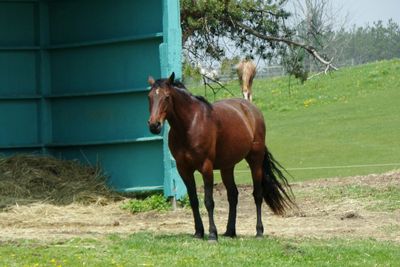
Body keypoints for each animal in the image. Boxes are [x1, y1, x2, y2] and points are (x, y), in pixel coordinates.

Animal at [148, 72, 294, 242]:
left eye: (166, 97)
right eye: (149, 96)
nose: (154, 125)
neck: (190, 125)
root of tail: (251, 108)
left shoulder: (206, 167)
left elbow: (209, 201)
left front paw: (212, 234)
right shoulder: (183, 169)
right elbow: (194, 200)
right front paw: (198, 232)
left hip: (255, 161)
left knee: (257, 195)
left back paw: (259, 232)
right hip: (227, 167)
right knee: (233, 195)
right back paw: (230, 231)